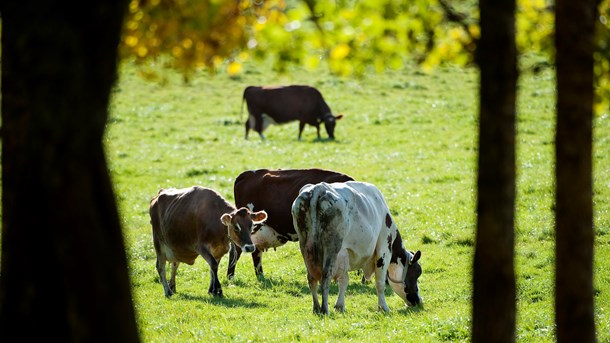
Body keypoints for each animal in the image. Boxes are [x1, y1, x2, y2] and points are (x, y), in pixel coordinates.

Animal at [292, 181, 420, 316]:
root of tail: (319, 188)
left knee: (311, 279)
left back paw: (316, 308)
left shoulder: (344, 254)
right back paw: (324, 309)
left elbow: (344, 281)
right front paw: (383, 307)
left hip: (305, 246)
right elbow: (379, 282)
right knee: (325, 278)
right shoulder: (384, 249)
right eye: (416, 272)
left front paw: (339, 306)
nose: (418, 300)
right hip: (332, 247)